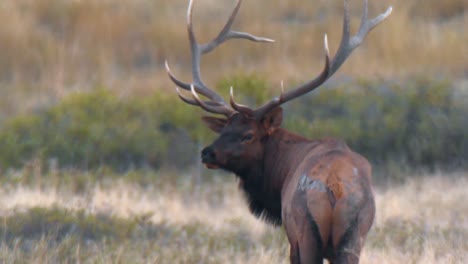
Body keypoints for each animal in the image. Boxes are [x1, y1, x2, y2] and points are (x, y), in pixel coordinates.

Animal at [165, 0, 392, 262]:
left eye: (248, 135)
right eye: (223, 130)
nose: (207, 153)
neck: (280, 172)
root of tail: (334, 187)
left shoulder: (292, 238)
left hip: (306, 232)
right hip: (354, 236)